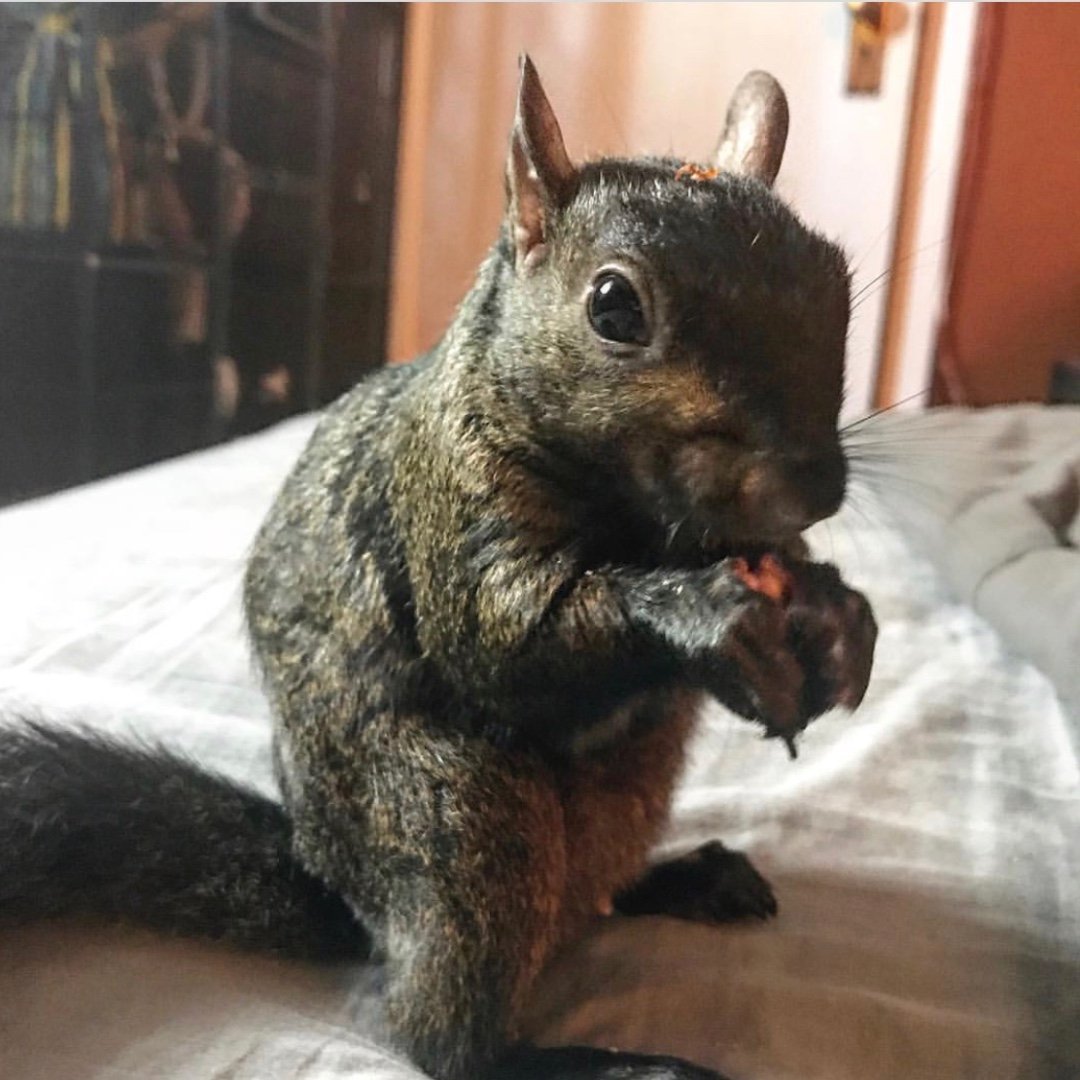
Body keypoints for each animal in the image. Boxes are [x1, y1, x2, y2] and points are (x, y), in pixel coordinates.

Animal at [0, 58, 876, 1080]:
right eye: (614, 306)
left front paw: (834, 614)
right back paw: (601, 1059)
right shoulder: (446, 504)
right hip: (458, 818)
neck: (642, 521)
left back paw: (681, 879)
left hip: (627, 791)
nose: (806, 486)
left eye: (838, 281)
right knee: (443, 1037)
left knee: (590, 898)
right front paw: (705, 614)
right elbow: (503, 646)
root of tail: (351, 900)